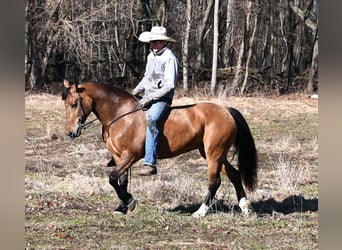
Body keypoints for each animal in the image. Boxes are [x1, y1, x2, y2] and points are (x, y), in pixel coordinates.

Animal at [62, 80, 258, 217]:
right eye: (66, 105)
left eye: (74, 104)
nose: (70, 132)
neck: (120, 115)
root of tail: (226, 110)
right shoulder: (118, 156)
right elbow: (120, 181)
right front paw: (122, 206)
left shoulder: (130, 155)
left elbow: (112, 178)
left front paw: (130, 201)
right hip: (215, 154)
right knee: (234, 175)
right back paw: (245, 208)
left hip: (214, 154)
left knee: (214, 181)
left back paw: (200, 212)